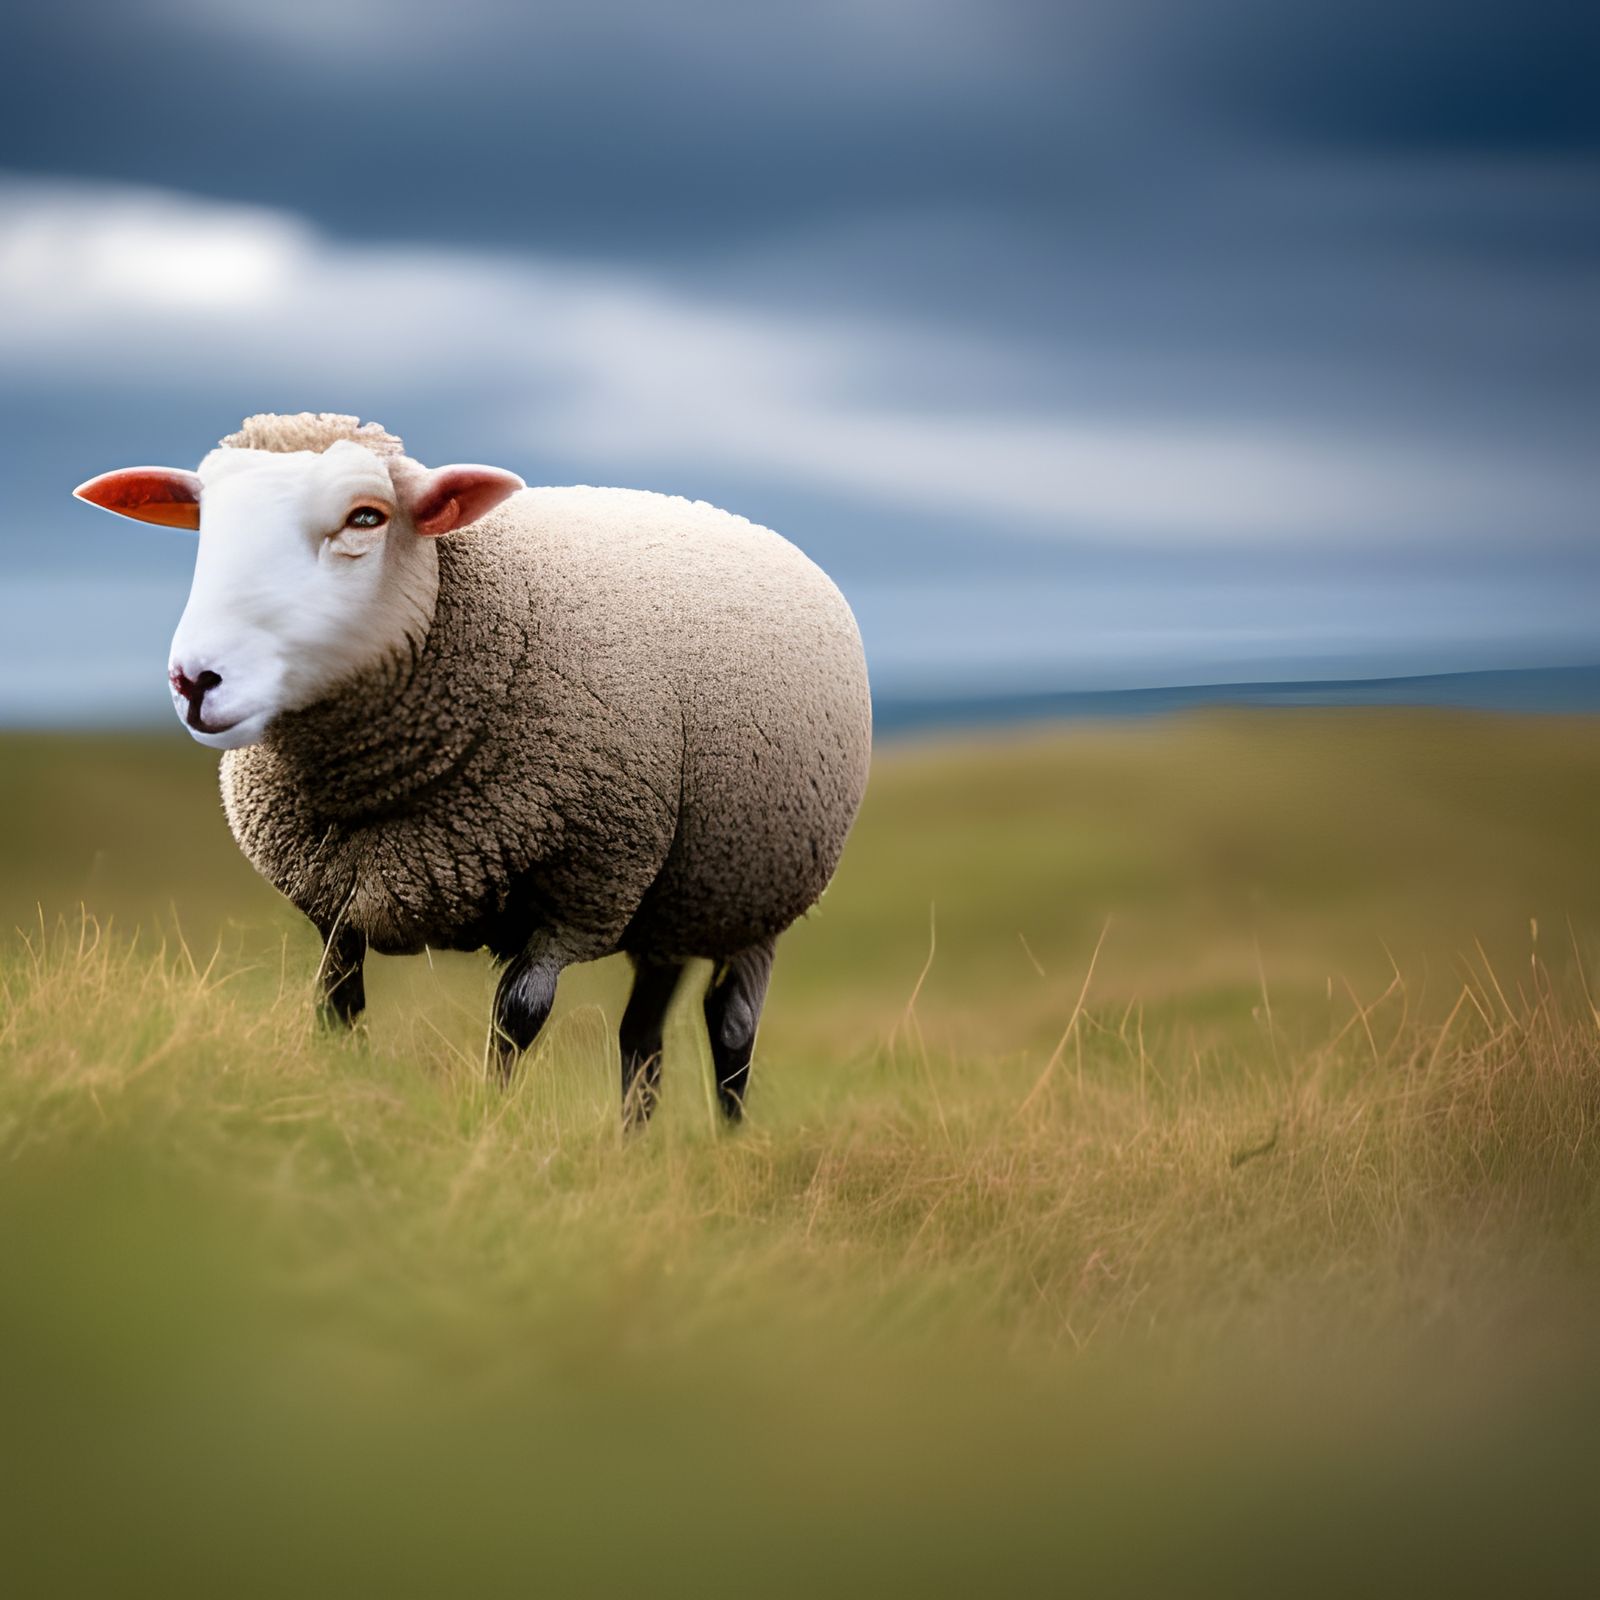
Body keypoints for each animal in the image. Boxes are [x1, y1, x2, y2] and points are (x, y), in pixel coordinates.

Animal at [74, 413, 872, 1125]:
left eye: (366, 517)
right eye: (205, 524)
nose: (195, 680)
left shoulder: (580, 893)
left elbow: (516, 1019)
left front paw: (489, 1128)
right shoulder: (334, 896)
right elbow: (337, 1005)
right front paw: (344, 1098)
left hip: (760, 895)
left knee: (730, 1028)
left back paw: (728, 1145)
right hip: (676, 898)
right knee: (642, 1034)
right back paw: (634, 1150)